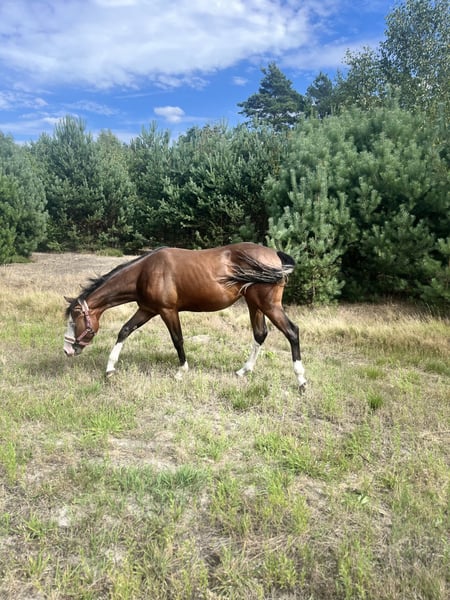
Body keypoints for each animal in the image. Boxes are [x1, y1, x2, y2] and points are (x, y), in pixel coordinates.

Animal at [63, 242, 307, 390]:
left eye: (73, 320)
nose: (67, 350)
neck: (145, 272)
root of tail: (275, 254)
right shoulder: (147, 310)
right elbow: (124, 330)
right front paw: (110, 369)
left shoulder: (167, 311)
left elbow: (177, 339)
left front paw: (181, 371)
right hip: (254, 304)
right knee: (260, 334)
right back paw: (243, 371)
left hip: (268, 305)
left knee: (292, 331)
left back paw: (301, 380)